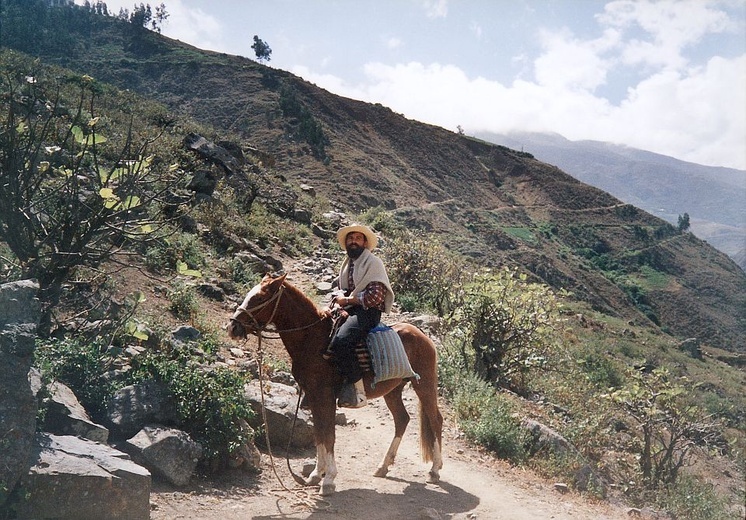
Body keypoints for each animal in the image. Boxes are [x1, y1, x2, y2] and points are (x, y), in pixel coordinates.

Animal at [227, 272, 442, 496]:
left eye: (259, 298)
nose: (232, 327)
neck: (313, 339)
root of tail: (423, 336)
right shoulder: (313, 395)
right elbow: (319, 433)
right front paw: (316, 474)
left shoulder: (324, 395)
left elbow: (328, 434)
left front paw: (328, 479)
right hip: (393, 390)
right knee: (402, 420)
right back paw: (383, 467)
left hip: (424, 385)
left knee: (436, 420)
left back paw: (435, 470)